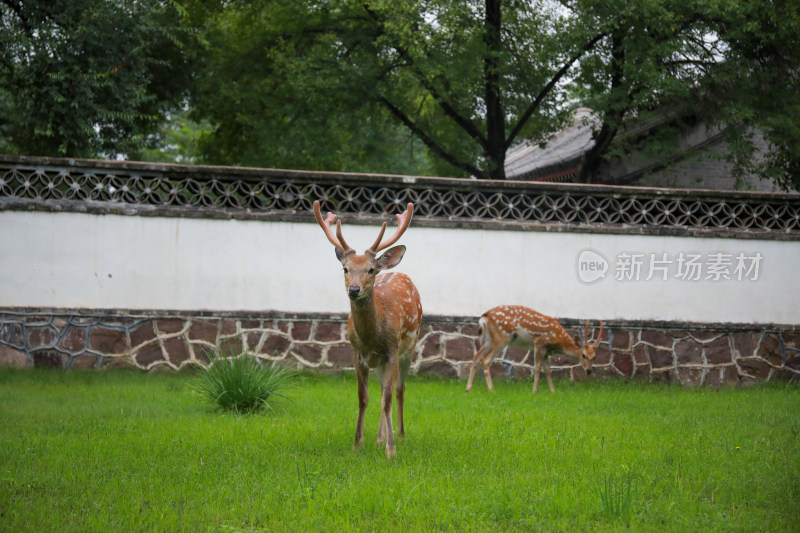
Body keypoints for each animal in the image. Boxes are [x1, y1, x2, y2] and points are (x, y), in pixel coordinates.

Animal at [314, 200, 424, 458]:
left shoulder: (392, 351)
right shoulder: (358, 354)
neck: (372, 338)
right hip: (380, 363)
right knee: (385, 389)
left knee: (399, 390)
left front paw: (391, 451)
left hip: (409, 348)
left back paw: (400, 436)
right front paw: (358, 444)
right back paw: (379, 439)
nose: (354, 289)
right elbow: (364, 398)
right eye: (345, 268)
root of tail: (399, 271)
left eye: (371, 270)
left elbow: (388, 399)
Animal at [466, 306, 604, 392]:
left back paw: (468, 388)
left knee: (476, 356)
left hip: (487, 339)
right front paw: (535, 390)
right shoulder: (539, 343)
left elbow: (547, 370)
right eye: (583, 355)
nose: (589, 371)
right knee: (485, 359)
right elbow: (537, 368)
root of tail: (483, 317)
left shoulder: (547, 351)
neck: (558, 341)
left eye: (595, 357)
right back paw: (491, 390)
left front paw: (553, 392)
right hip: (501, 338)